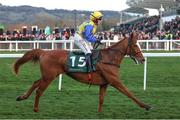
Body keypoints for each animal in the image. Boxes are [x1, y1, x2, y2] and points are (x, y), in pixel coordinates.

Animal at [13, 32, 150, 112]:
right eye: (135, 45)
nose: (143, 59)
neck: (109, 58)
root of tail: (44, 52)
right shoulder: (115, 81)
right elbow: (129, 93)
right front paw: (146, 105)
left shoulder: (104, 83)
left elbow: (101, 99)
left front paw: (99, 113)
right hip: (49, 77)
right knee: (39, 90)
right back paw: (35, 109)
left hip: (49, 75)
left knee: (35, 82)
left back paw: (22, 97)